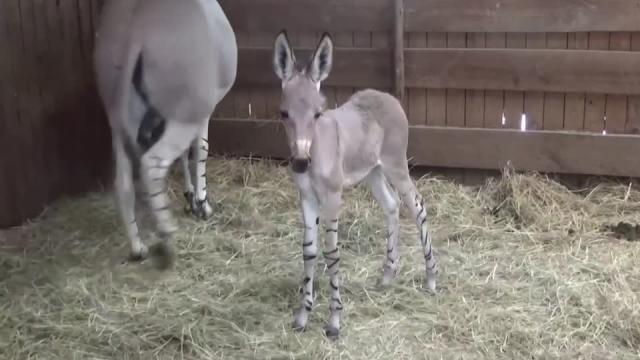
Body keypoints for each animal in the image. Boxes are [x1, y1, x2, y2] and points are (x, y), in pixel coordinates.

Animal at [94, 0, 236, 268]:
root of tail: (137, 29)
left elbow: (184, 155)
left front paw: (190, 196)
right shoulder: (201, 113)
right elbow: (200, 150)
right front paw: (201, 203)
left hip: (118, 117)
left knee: (123, 182)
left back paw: (137, 247)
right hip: (186, 114)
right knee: (152, 164)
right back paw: (167, 235)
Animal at [272, 31, 438, 338]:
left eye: (318, 113)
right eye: (284, 113)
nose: (300, 162)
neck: (316, 150)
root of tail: (388, 96)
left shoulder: (332, 196)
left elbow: (331, 253)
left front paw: (334, 321)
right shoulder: (306, 196)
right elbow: (309, 251)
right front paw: (302, 316)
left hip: (396, 165)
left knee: (417, 206)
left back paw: (432, 278)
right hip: (373, 172)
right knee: (392, 205)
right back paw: (387, 275)